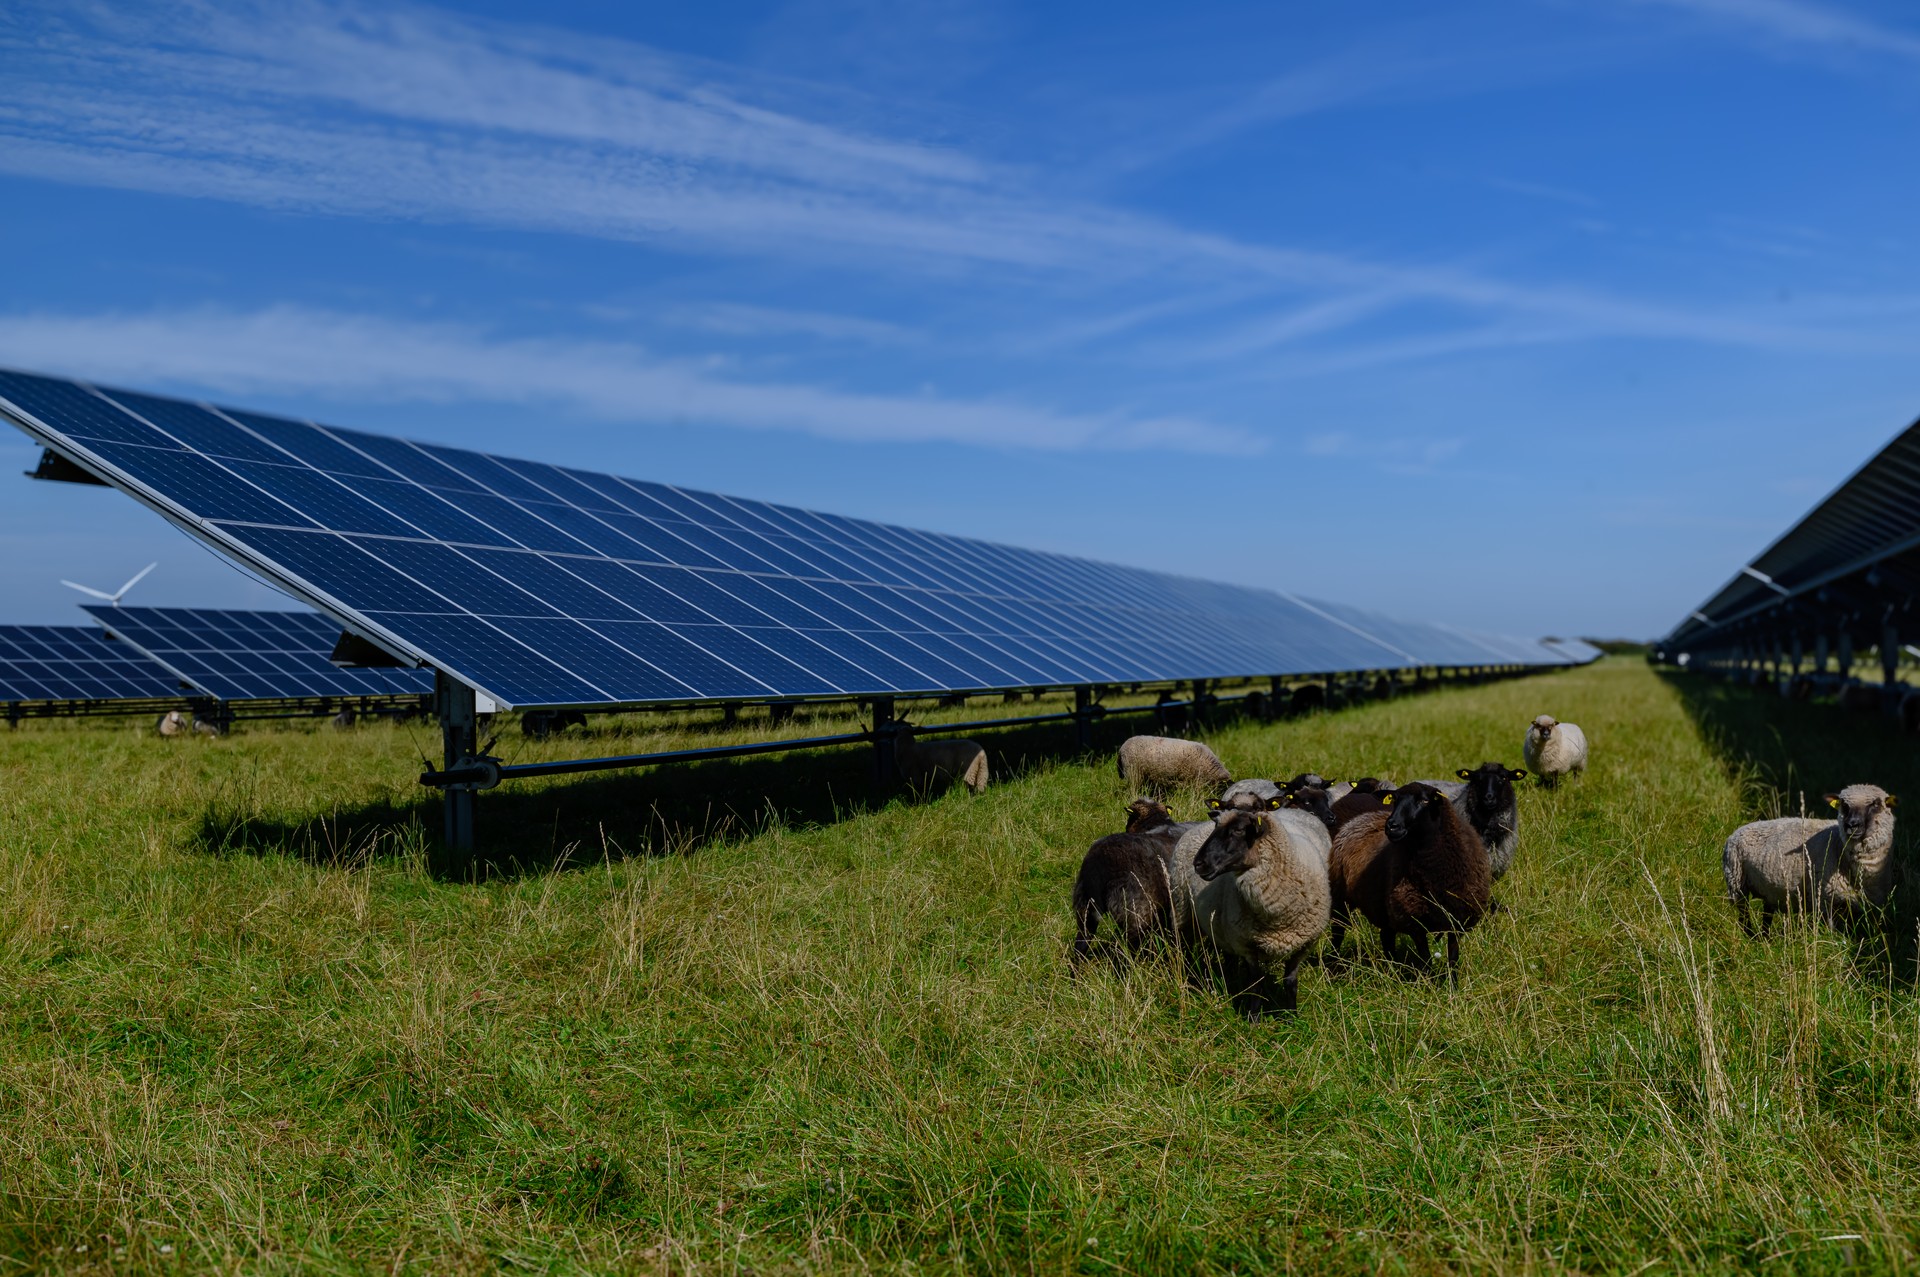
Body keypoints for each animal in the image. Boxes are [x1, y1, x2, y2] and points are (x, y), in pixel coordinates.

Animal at [1328, 783, 1489, 979]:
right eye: (1394, 799)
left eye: (1424, 800)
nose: (1392, 826)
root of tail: (1357, 819)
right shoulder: (1412, 919)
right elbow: (1426, 961)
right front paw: (1429, 983)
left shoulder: (1457, 920)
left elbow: (1453, 960)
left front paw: (1453, 985)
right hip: (1341, 898)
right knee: (1338, 932)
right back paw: (1333, 965)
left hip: (1384, 907)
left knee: (1386, 936)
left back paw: (1392, 972)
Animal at [1720, 775, 1896, 937]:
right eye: (1844, 805)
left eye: (1875, 804)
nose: (1852, 825)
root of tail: (1736, 832)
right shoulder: (1826, 899)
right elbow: (1832, 932)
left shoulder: (1872, 905)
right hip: (1736, 882)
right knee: (1743, 914)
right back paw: (1749, 935)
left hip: (1768, 890)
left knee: (1767, 913)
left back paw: (1764, 938)